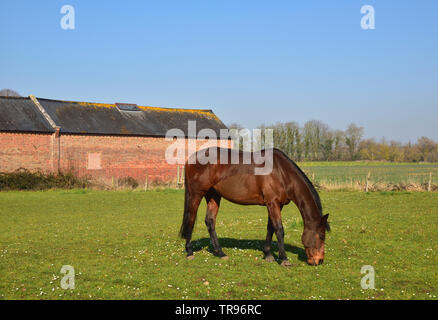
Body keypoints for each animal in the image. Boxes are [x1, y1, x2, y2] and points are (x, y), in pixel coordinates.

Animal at [179, 147, 328, 264]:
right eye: (321, 236)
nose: (319, 260)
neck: (281, 173)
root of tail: (191, 158)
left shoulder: (275, 205)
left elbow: (270, 228)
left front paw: (268, 254)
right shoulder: (273, 203)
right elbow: (279, 229)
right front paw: (284, 259)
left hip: (213, 196)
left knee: (210, 221)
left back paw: (220, 253)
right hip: (196, 194)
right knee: (191, 219)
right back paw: (189, 252)